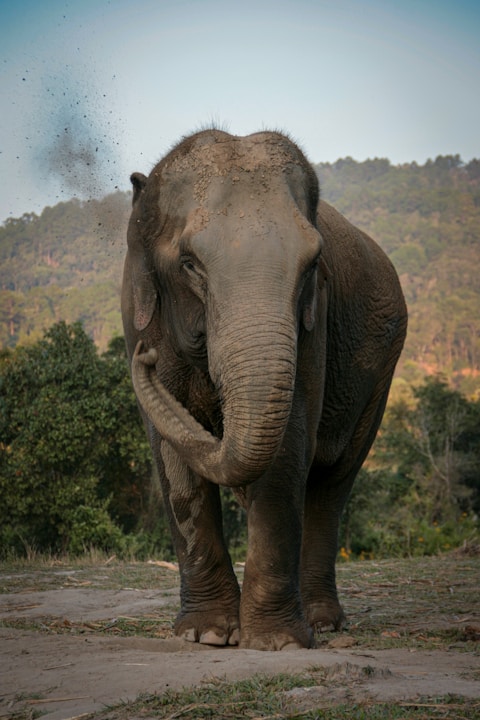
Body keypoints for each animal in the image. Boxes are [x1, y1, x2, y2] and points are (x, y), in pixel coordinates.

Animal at [121, 129, 407, 651]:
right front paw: (208, 635)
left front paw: (276, 642)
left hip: (381, 375)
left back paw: (321, 623)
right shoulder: (137, 312)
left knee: (333, 485)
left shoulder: (315, 320)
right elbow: (170, 458)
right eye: (189, 264)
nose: (143, 359)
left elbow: (290, 442)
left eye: (313, 263)